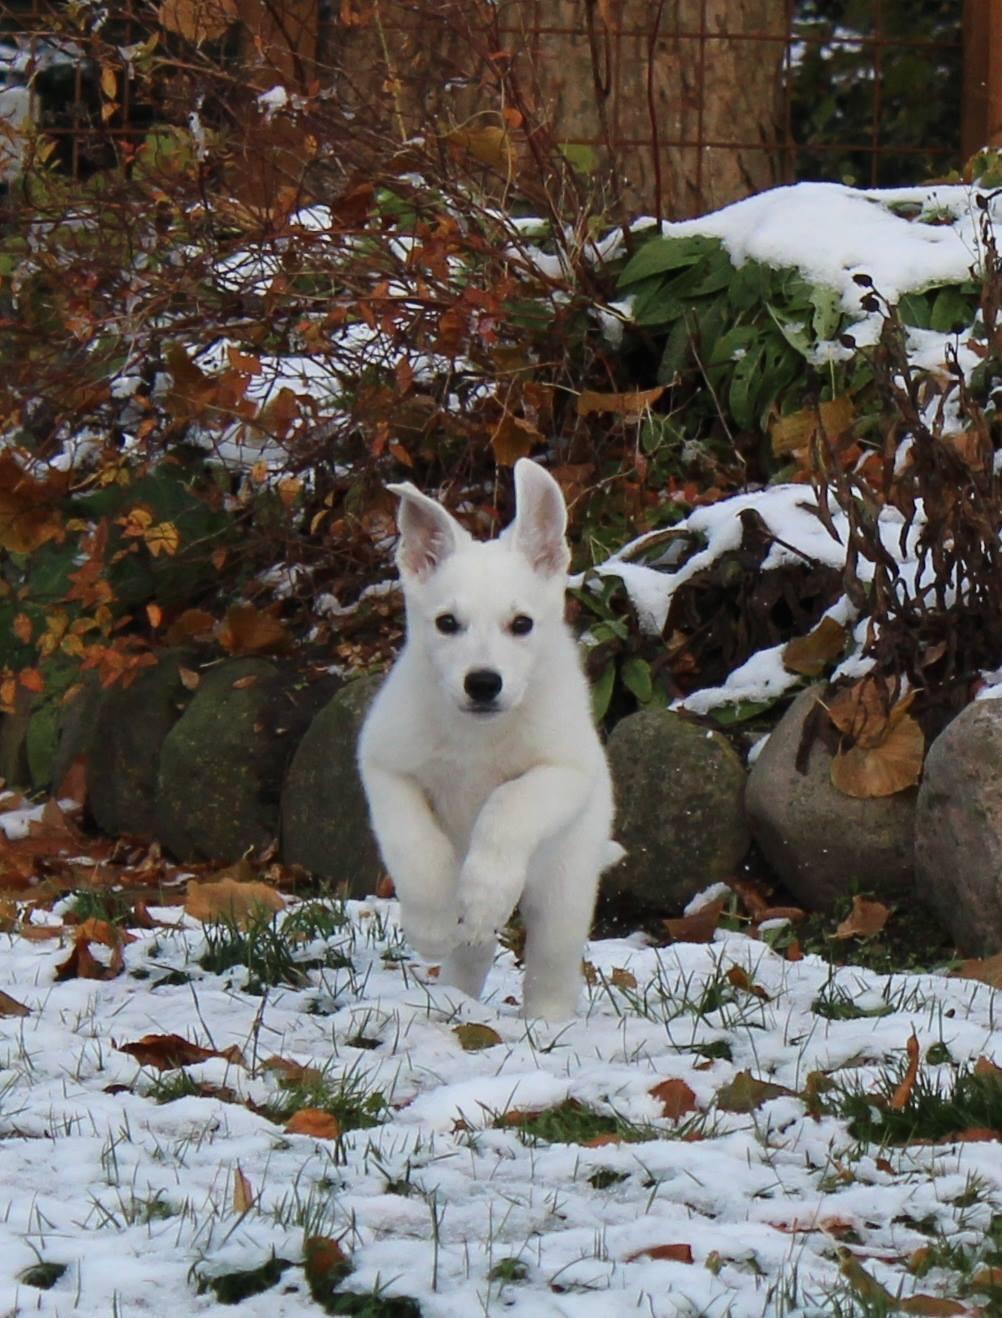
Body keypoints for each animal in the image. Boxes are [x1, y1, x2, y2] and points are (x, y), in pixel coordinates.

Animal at [361, 456, 619, 1017]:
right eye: (446, 623)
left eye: (521, 624)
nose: (482, 683)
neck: (476, 736)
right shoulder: (384, 766)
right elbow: (415, 844)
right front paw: (431, 921)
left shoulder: (564, 771)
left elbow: (507, 805)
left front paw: (485, 890)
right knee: (472, 952)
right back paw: (455, 1000)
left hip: (565, 885)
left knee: (551, 964)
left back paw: (545, 1022)